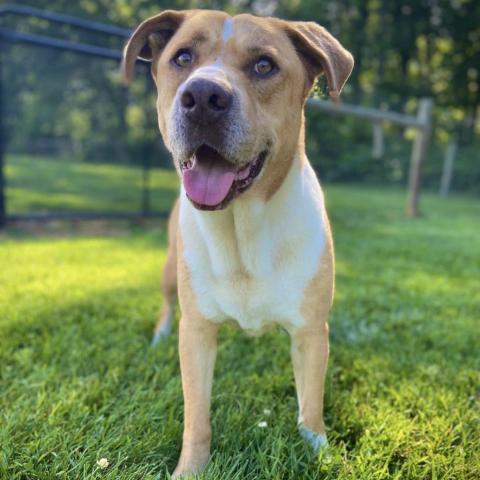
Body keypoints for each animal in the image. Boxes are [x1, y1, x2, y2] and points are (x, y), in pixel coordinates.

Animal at [122, 9, 354, 478]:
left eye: (264, 65)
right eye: (182, 57)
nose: (203, 95)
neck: (241, 228)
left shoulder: (310, 331)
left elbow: (311, 407)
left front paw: (318, 451)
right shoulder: (196, 332)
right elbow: (197, 416)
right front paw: (190, 468)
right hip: (170, 270)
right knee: (166, 304)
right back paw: (158, 335)